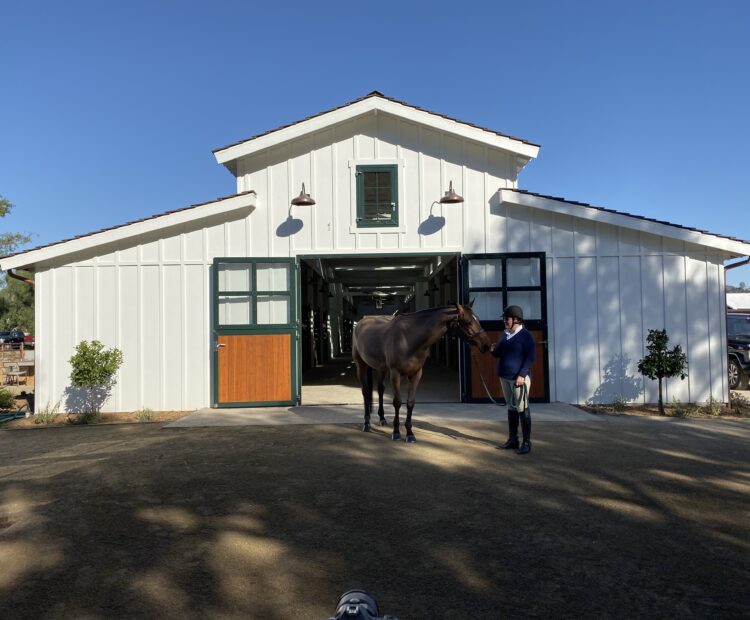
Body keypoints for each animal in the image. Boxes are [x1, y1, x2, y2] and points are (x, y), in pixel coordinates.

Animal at [352, 300, 494, 440]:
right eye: (468, 322)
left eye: (478, 319)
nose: (487, 345)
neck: (407, 338)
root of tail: (361, 322)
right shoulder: (395, 374)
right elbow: (397, 402)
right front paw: (396, 432)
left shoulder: (416, 374)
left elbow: (410, 402)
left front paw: (409, 434)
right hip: (361, 364)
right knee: (365, 391)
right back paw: (366, 424)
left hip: (382, 368)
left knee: (380, 388)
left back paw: (382, 418)